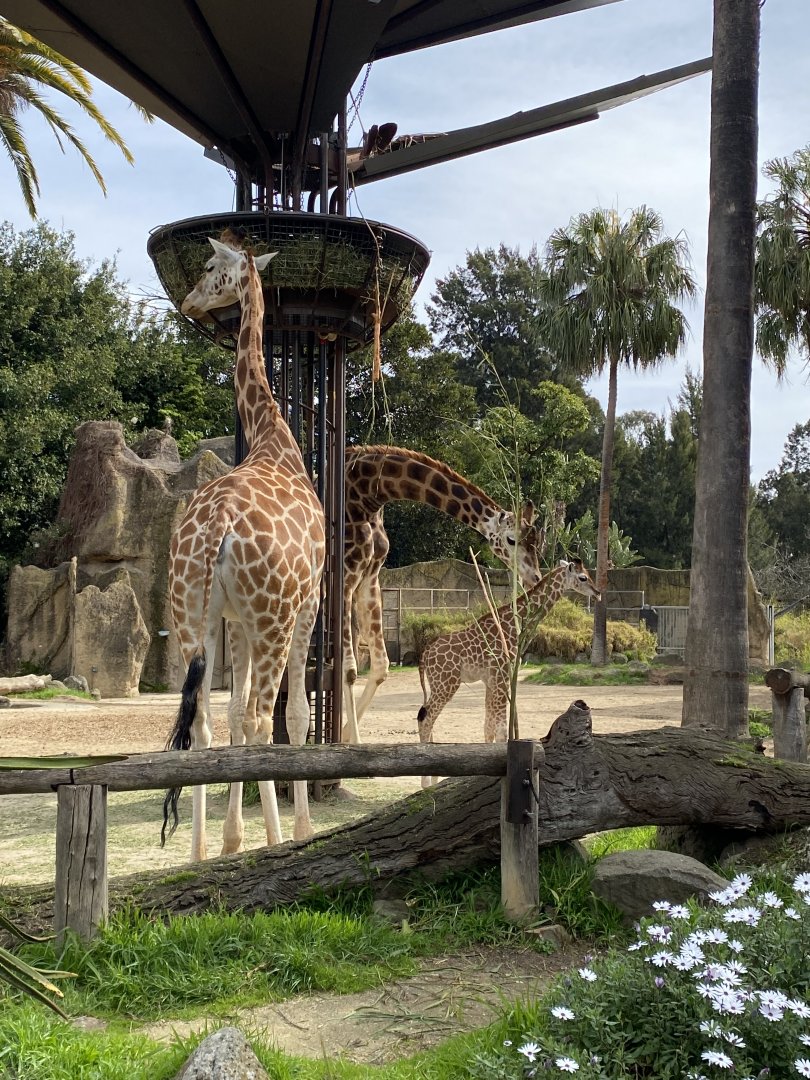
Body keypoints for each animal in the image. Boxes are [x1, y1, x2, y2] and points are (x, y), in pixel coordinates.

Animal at [161, 234, 326, 860]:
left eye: (210, 266)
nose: (188, 301)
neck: (273, 439)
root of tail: (218, 527)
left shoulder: (236, 621)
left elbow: (230, 714)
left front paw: (233, 838)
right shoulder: (308, 603)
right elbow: (294, 717)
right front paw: (296, 830)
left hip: (193, 615)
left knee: (203, 719)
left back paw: (201, 851)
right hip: (273, 617)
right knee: (261, 716)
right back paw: (275, 840)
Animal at [341, 446, 545, 744]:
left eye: (537, 542)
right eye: (511, 540)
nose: (534, 578)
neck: (369, 491)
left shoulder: (369, 576)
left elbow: (380, 666)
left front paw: (346, 736)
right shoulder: (344, 574)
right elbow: (347, 669)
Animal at [416, 558, 600, 785]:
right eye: (583, 577)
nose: (598, 592)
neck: (514, 625)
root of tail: (424, 655)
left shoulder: (491, 679)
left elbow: (488, 727)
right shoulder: (502, 674)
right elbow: (502, 730)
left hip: (438, 684)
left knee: (427, 716)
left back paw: (433, 776)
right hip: (447, 683)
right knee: (425, 719)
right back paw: (425, 782)